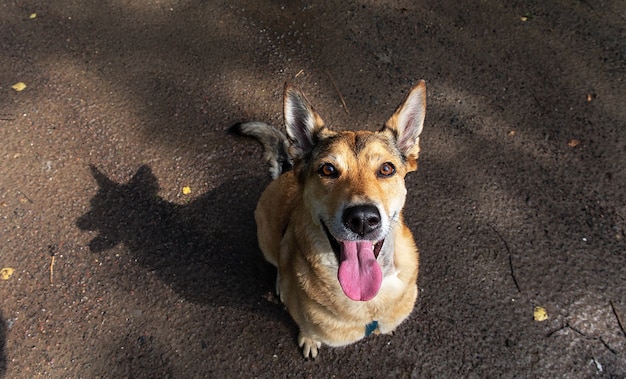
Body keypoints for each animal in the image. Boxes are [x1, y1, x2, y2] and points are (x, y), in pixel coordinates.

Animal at [229, 81, 424, 360]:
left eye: (387, 169)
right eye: (328, 169)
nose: (362, 219)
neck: (368, 304)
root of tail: (287, 170)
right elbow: (306, 327)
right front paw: (309, 339)